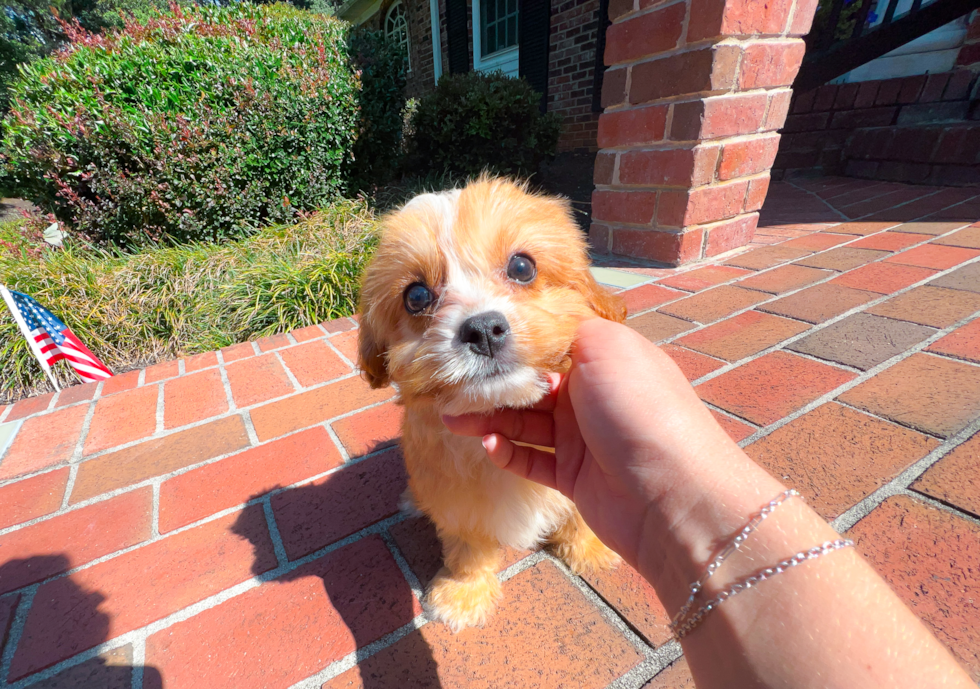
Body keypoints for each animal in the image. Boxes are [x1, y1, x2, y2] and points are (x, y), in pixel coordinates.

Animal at [360, 176, 628, 628]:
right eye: (416, 297)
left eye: (522, 267)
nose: (483, 329)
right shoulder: (454, 496)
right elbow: (467, 543)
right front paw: (463, 594)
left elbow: (579, 510)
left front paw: (589, 550)